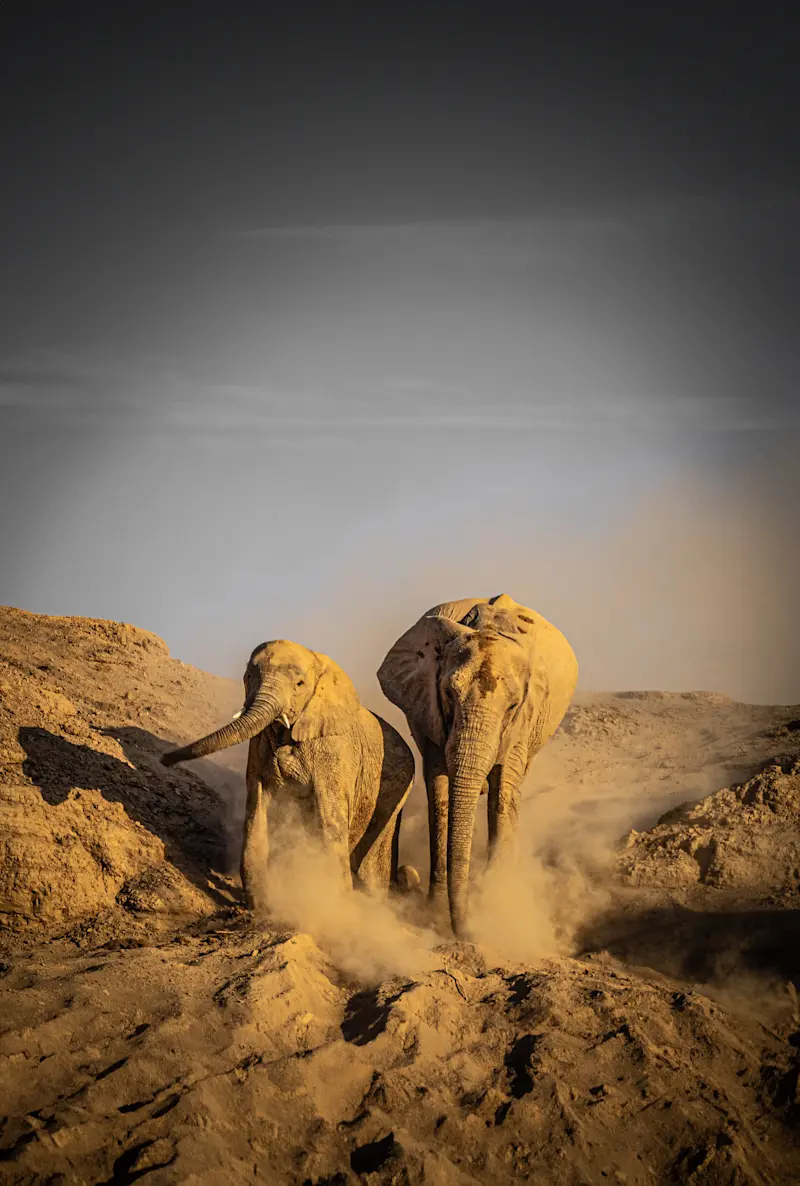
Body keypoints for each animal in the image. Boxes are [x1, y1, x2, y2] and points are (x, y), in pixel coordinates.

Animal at [161, 640, 418, 913]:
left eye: (300, 684)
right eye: (249, 676)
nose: (164, 759)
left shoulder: (333, 751)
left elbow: (331, 819)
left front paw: (335, 909)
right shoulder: (259, 747)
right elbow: (257, 811)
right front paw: (262, 908)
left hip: (394, 789)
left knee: (373, 860)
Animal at [377, 594, 578, 938]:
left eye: (512, 706)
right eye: (448, 694)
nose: (465, 932)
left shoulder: (523, 720)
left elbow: (503, 793)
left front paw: (496, 910)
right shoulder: (429, 711)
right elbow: (439, 789)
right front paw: (434, 914)